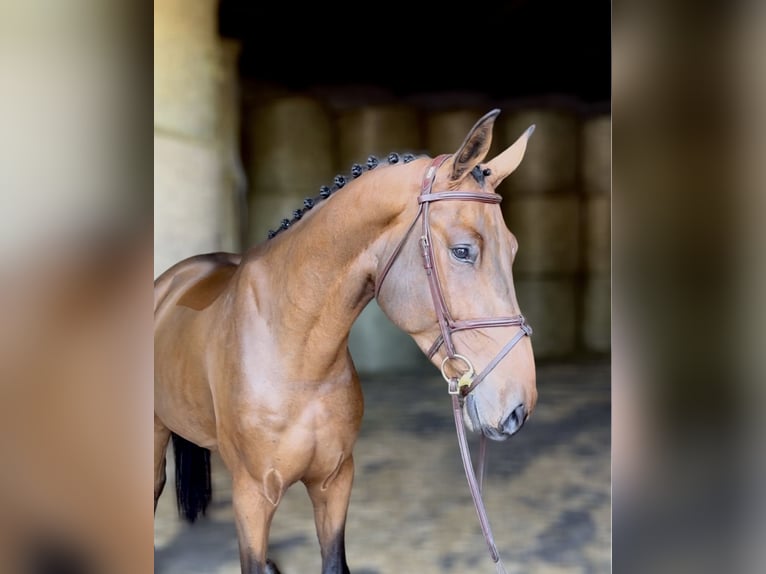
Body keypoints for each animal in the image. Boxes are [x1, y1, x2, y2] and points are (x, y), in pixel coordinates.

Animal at [154, 109, 540, 574]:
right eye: (463, 251)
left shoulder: (334, 481)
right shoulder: (253, 496)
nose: (519, 407)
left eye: (513, 249)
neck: (296, 353)